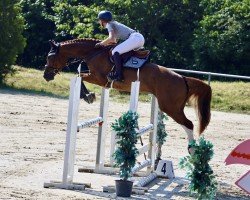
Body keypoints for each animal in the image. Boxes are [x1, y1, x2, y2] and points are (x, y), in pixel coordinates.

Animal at [44, 38, 212, 152]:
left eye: (50, 57)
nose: (46, 76)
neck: (93, 53)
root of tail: (182, 78)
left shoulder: (99, 79)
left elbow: (78, 75)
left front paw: (88, 96)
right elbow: (79, 75)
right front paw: (89, 95)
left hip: (170, 107)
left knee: (189, 124)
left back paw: (192, 149)